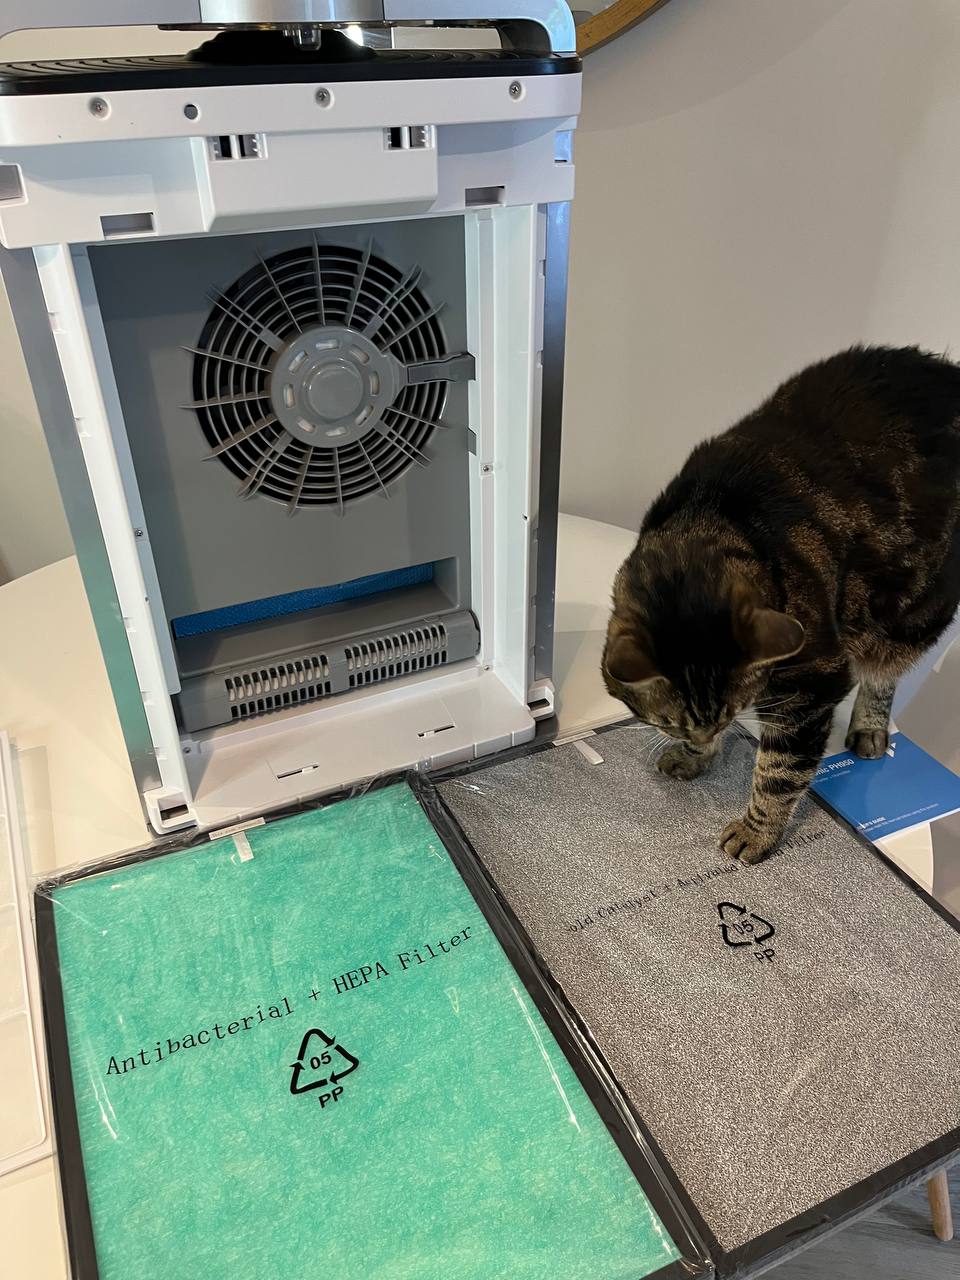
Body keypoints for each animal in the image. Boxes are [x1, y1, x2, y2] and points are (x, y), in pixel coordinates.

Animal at [602, 345, 960, 863]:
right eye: (670, 721)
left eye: (729, 712)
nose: (705, 735)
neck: (712, 516)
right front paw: (694, 755)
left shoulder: (813, 685)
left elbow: (779, 772)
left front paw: (756, 832)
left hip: (911, 613)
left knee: (884, 672)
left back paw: (870, 728)